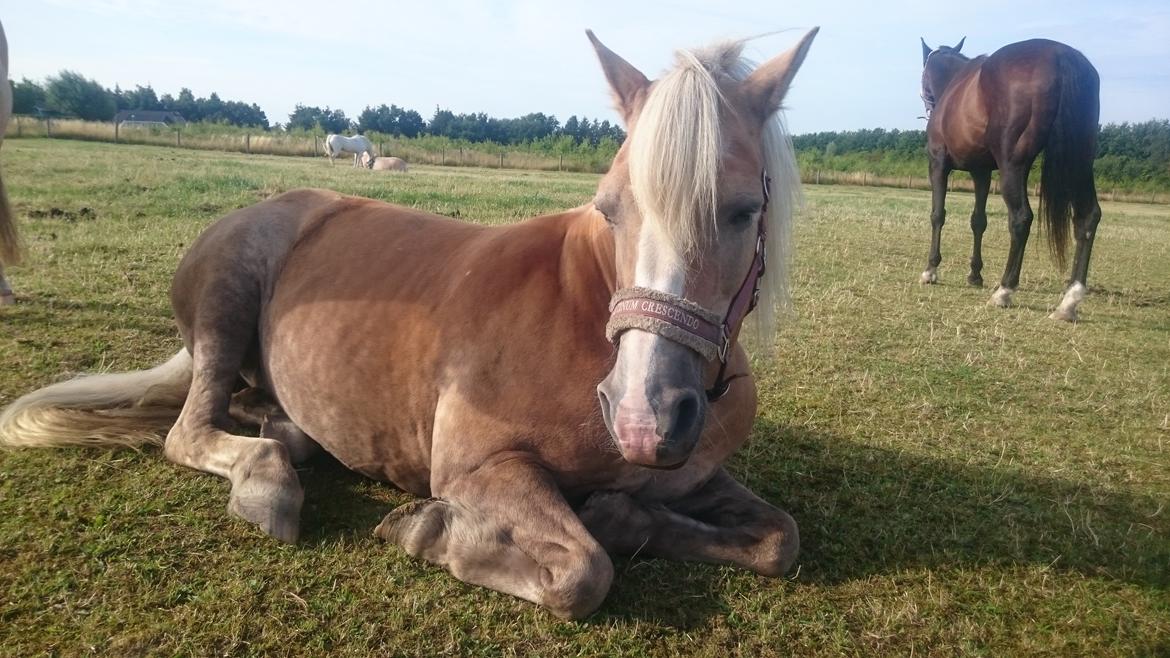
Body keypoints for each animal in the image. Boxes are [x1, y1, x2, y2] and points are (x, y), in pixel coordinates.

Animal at [0, 28, 819, 618]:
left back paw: (287, 434)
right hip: (225, 306)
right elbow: (584, 573)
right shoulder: (480, 467)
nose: (645, 419)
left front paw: (622, 514)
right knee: (189, 430)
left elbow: (780, 541)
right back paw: (268, 481)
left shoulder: (699, 477)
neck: (585, 312)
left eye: (743, 211)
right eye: (609, 207)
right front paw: (431, 530)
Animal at [917, 38, 1099, 320]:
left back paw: (1005, 290)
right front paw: (975, 274)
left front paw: (931, 270)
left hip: (1012, 165)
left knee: (1021, 218)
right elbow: (978, 221)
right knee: (1088, 217)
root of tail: (1061, 55)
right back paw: (1070, 300)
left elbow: (938, 215)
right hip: (1079, 162)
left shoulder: (938, 164)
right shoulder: (981, 172)